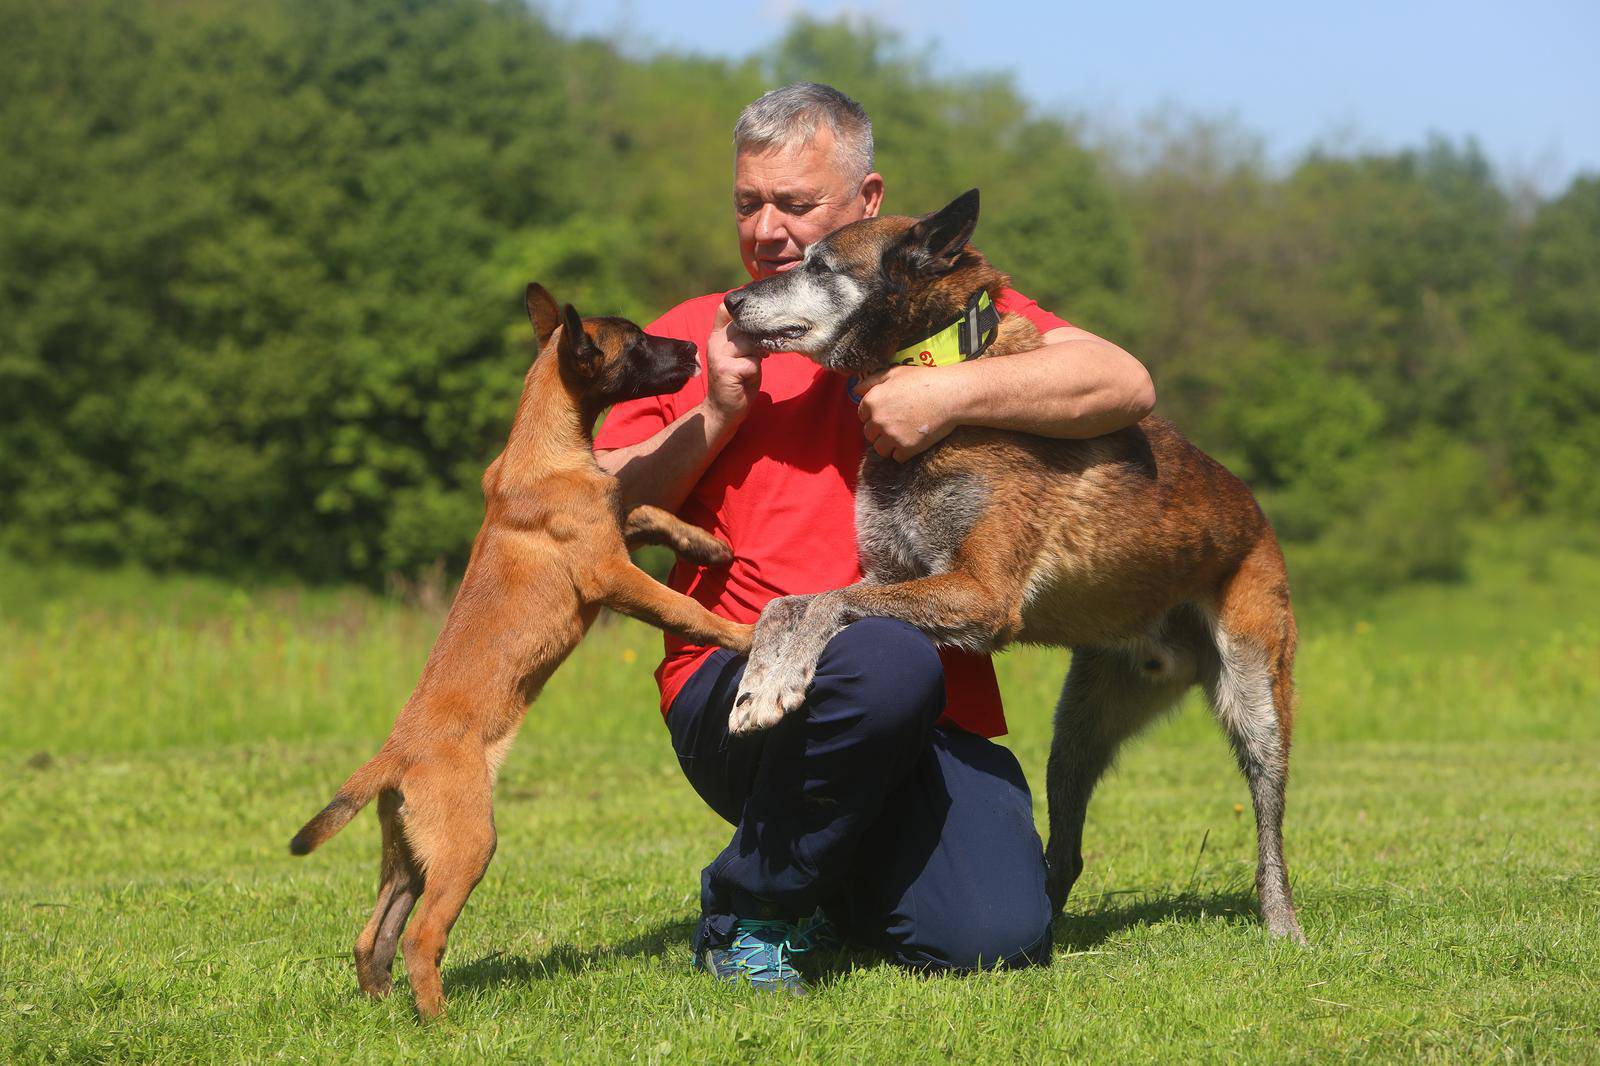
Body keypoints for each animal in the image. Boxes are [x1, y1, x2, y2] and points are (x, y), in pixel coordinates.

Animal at [289, 281, 755, 1011]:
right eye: (637, 342)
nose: (693, 348)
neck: (544, 441)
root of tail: (394, 754)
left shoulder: (613, 527)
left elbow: (646, 510)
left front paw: (705, 543)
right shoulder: (610, 575)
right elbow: (685, 608)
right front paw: (743, 630)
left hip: (409, 852)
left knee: (374, 935)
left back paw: (386, 1008)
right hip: (467, 843)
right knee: (421, 939)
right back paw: (444, 1023)